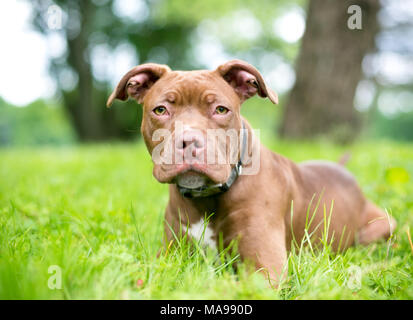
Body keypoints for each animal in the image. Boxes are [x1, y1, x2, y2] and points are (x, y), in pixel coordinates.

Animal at [107, 59, 396, 282]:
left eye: (220, 109)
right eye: (160, 110)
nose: (190, 142)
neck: (208, 197)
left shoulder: (265, 268)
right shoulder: (169, 255)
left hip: (381, 226)